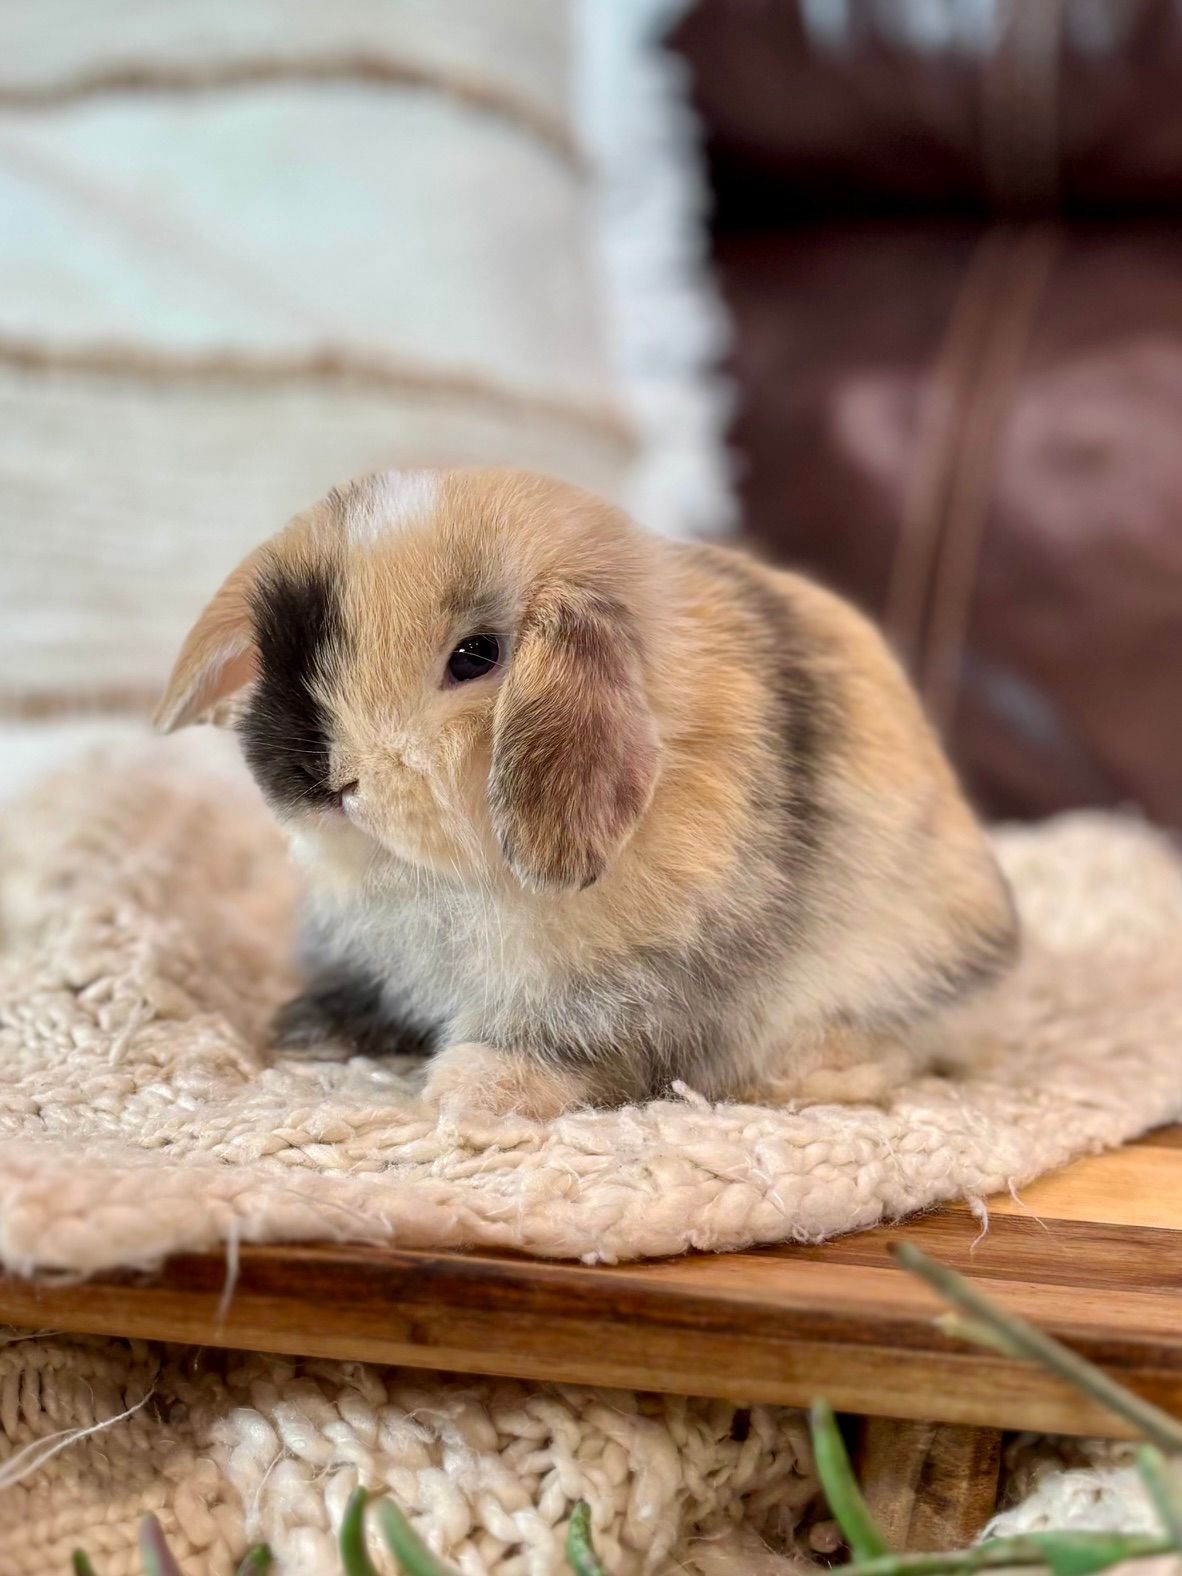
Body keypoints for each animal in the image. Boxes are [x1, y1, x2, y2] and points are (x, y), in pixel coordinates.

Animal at [155, 467, 1018, 1118]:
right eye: (286, 653)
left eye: (476, 656)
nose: (323, 777)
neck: (442, 880)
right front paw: (302, 1033)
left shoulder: (619, 989)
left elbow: (573, 1048)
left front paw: (473, 1091)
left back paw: (805, 1077)